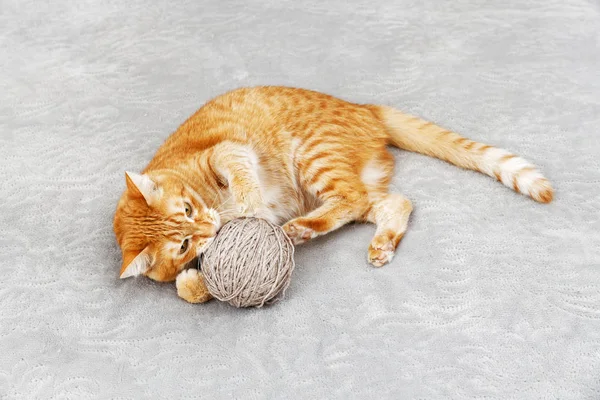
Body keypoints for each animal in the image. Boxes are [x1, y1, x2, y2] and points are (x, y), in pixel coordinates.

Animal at [112, 85, 552, 304]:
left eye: (188, 209)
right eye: (184, 245)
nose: (210, 226)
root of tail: (364, 108)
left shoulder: (227, 151)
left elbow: (241, 178)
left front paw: (248, 209)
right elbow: (191, 289)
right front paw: (193, 282)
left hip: (313, 155)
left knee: (354, 199)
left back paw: (300, 230)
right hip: (340, 184)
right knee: (392, 202)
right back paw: (380, 243)